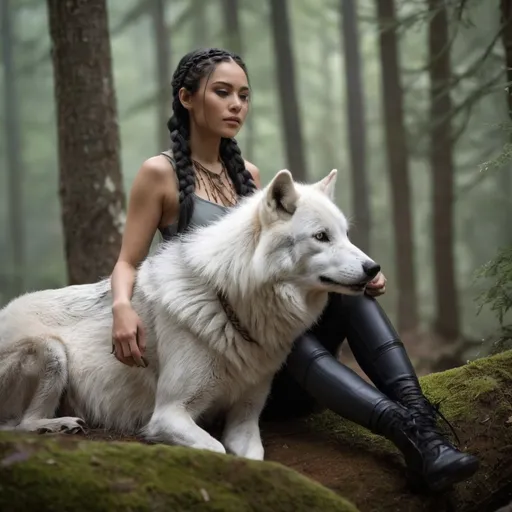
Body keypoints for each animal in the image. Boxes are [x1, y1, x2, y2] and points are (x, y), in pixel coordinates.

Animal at [0, 168, 378, 460]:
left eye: (345, 235)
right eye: (321, 236)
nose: (373, 268)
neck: (230, 304)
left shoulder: (245, 417)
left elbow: (253, 458)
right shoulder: (168, 414)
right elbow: (216, 449)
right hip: (52, 350)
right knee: (19, 425)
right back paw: (57, 425)